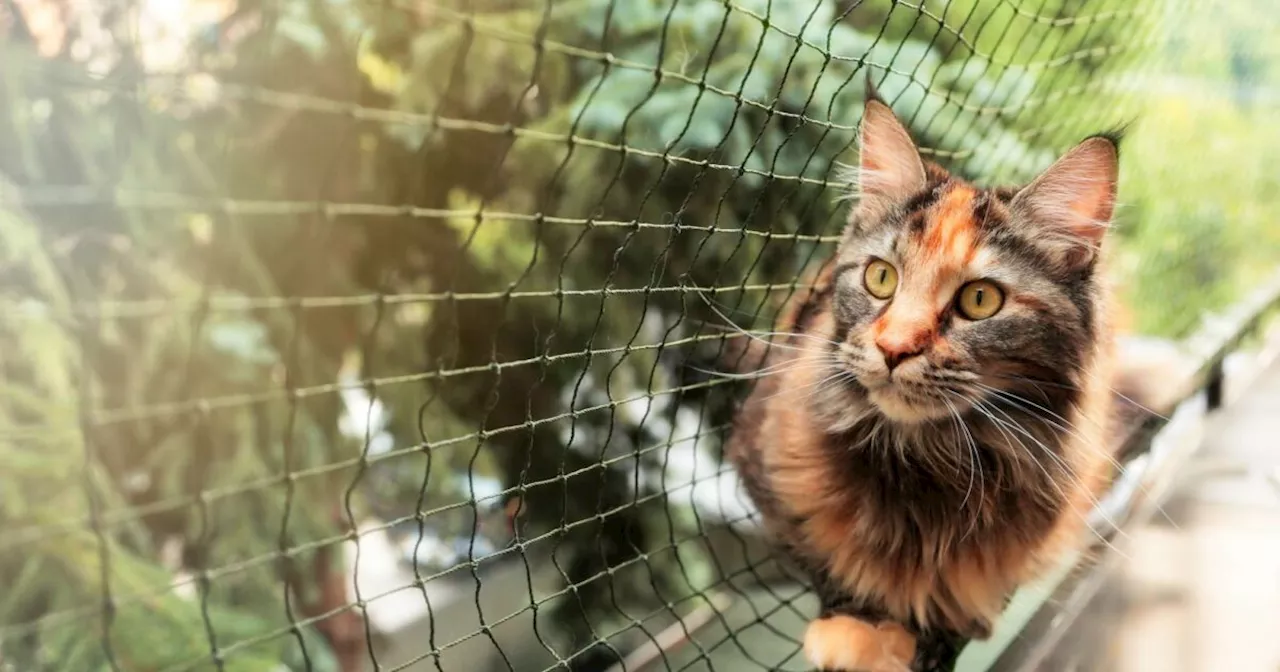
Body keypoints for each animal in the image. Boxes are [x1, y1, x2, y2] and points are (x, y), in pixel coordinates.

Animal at [727, 88, 1136, 670]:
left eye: (980, 299)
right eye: (881, 277)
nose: (894, 349)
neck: (927, 461)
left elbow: (954, 603)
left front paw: (918, 641)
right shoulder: (765, 469)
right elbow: (827, 560)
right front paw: (856, 629)